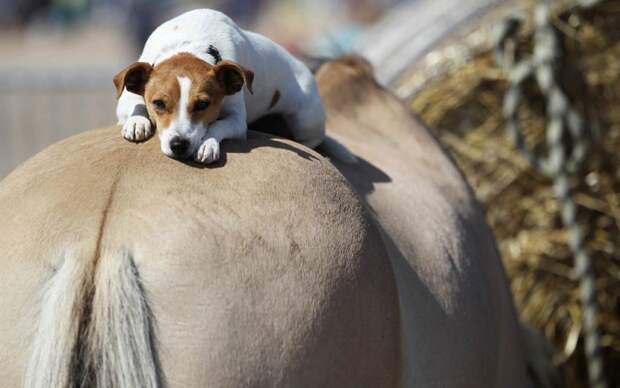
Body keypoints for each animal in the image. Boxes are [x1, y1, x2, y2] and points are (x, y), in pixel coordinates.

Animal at [112, 8, 354, 164]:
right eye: (159, 103)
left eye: (203, 104)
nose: (179, 145)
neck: (190, 44)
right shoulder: (128, 97)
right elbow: (135, 105)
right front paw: (137, 122)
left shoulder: (237, 120)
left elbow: (218, 126)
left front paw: (208, 144)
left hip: (306, 119)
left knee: (312, 139)